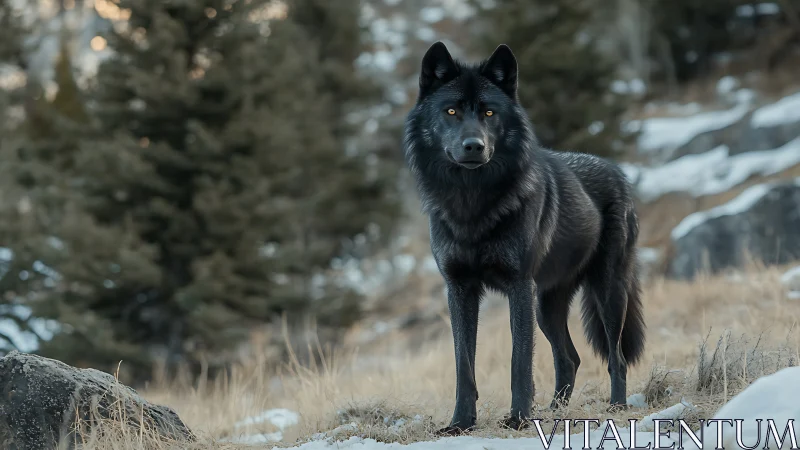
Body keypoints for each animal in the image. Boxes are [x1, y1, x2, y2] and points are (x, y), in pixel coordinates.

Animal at [402, 42, 646, 435]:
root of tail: (617, 171)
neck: (471, 203)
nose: (474, 146)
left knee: (616, 357)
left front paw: (517, 419)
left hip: (606, 293)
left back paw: (616, 407)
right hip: (546, 307)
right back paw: (552, 412)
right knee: (570, 358)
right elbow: (463, 366)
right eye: (451, 111)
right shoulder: (459, 290)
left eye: (489, 112)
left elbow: (519, 362)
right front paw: (460, 424)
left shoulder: (518, 287)